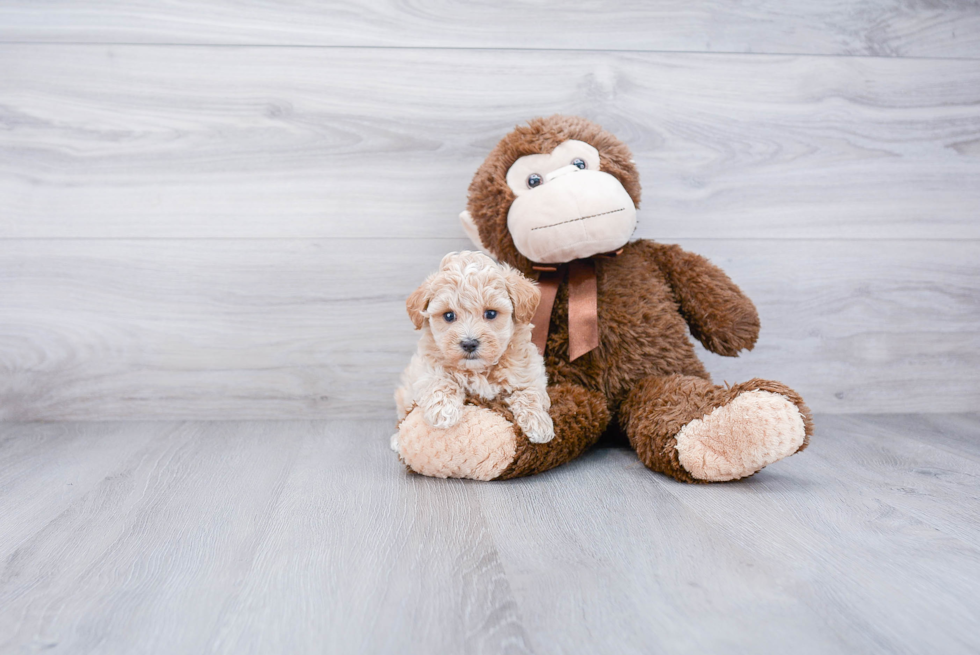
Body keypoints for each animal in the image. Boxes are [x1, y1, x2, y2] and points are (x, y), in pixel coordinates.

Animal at [394, 251, 556, 452]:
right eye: (449, 315)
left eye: (491, 314)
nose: (469, 343)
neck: (478, 370)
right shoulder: (424, 368)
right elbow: (439, 380)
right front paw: (444, 412)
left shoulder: (529, 370)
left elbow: (529, 392)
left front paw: (538, 424)